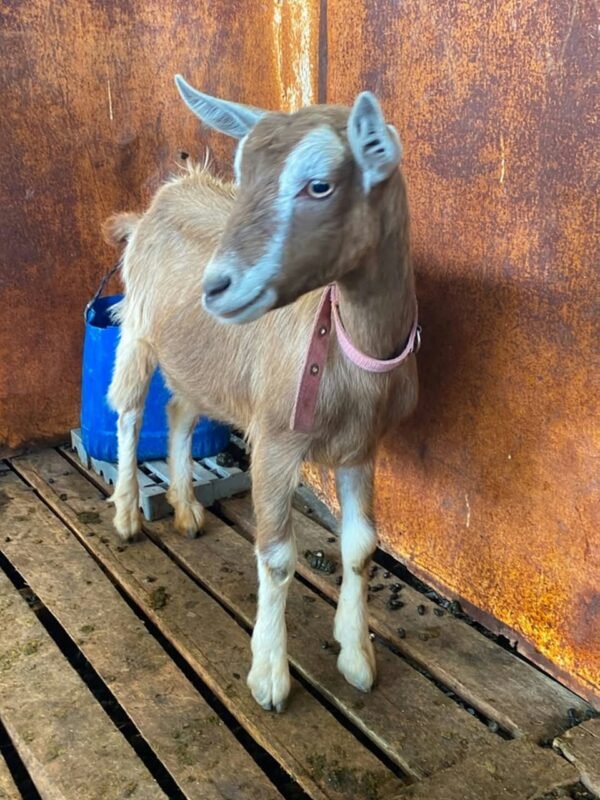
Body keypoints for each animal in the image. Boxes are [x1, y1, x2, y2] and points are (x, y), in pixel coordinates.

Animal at [105, 75, 419, 713]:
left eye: (319, 184)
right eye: (244, 175)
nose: (217, 285)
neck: (349, 346)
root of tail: (167, 193)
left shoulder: (361, 447)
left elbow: (361, 547)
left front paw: (356, 656)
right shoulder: (276, 439)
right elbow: (276, 557)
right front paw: (270, 677)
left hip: (201, 361)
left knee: (179, 409)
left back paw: (185, 508)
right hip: (139, 325)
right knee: (127, 409)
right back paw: (126, 513)